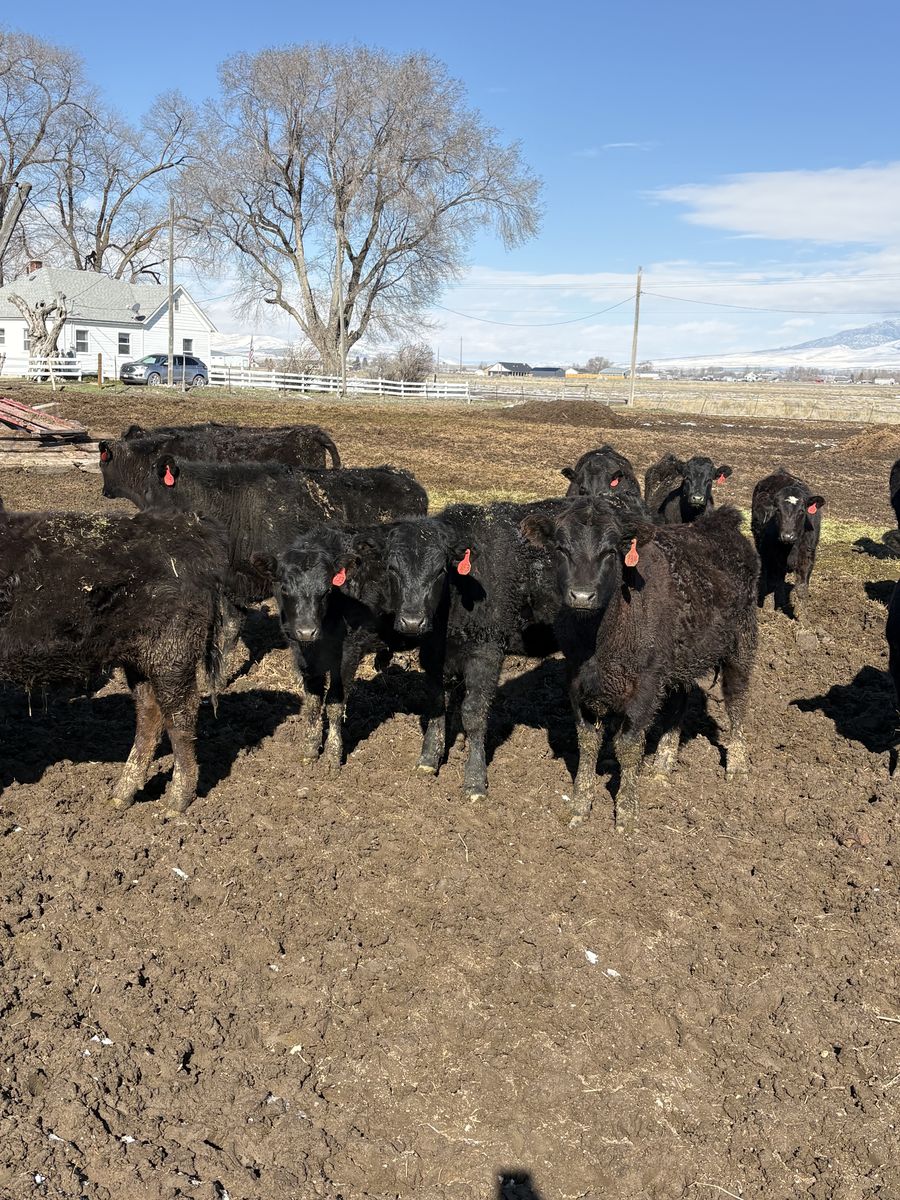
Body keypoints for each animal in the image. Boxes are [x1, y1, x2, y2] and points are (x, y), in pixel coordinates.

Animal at [0, 506, 233, 814]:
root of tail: (192, 528)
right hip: (138, 659)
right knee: (150, 712)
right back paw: (120, 796)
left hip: (172, 652)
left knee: (181, 713)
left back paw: (176, 803)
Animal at [522, 499, 758, 833]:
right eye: (561, 548)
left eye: (610, 551)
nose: (582, 594)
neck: (598, 643)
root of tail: (720, 521)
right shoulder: (576, 682)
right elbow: (587, 742)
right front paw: (580, 805)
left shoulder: (646, 685)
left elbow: (628, 746)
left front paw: (627, 812)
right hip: (679, 658)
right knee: (680, 700)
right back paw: (663, 762)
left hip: (741, 640)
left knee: (736, 699)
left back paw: (737, 764)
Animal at [751, 468, 825, 621]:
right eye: (778, 510)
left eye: (802, 510)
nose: (787, 535)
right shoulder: (771, 555)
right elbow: (774, 580)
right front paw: (769, 610)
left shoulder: (807, 556)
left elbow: (802, 587)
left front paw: (803, 619)